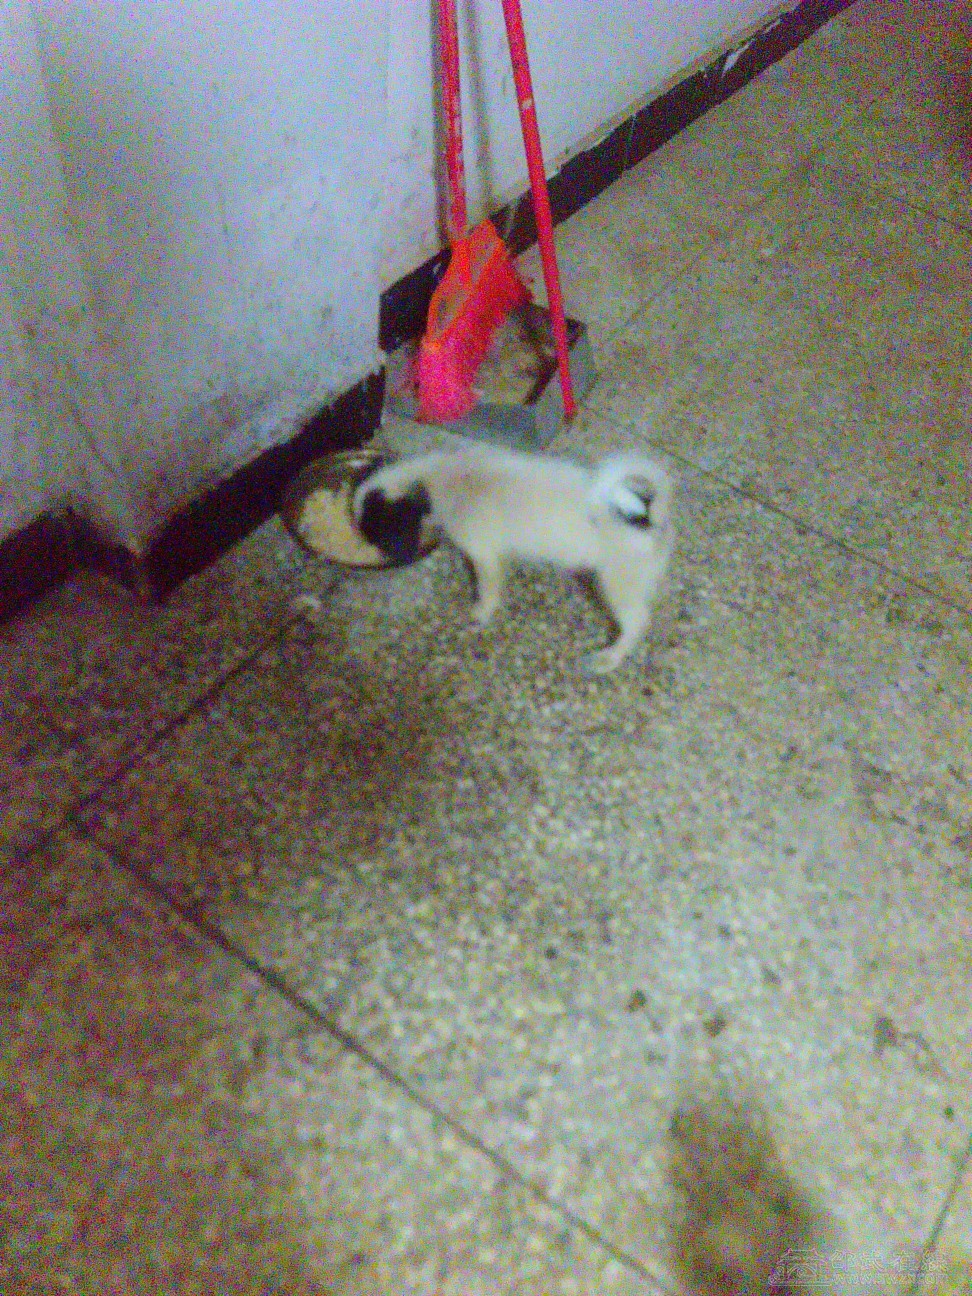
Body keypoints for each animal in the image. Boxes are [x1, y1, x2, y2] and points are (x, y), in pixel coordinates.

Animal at [352, 444, 675, 674]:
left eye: (374, 530)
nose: (370, 550)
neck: (439, 477)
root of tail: (650, 520)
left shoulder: (483, 554)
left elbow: (488, 590)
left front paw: (480, 613)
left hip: (615, 585)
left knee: (637, 623)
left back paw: (610, 658)